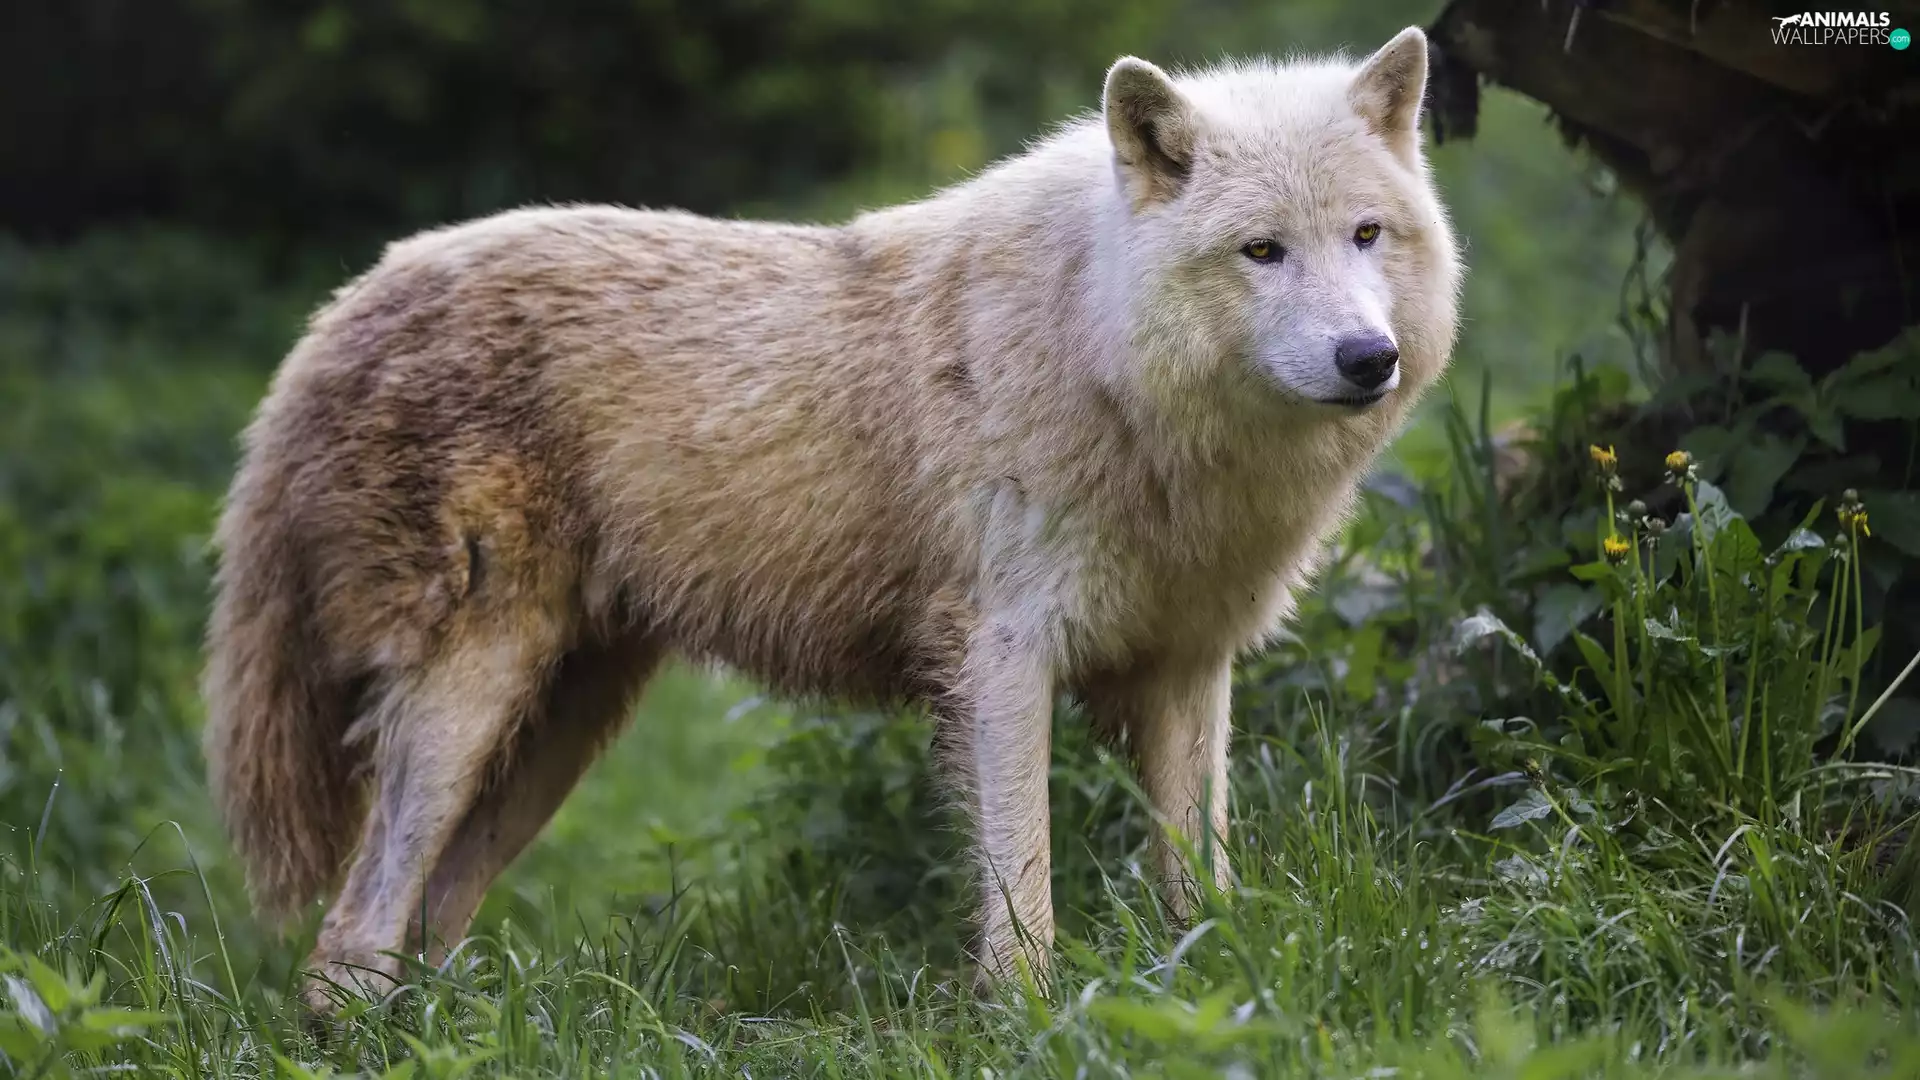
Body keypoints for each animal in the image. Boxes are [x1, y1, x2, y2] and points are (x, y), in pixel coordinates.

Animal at [202, 25, 1461, 1006]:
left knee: (424, 925)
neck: (1102, 358)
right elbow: (1023, 886)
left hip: (557, 728)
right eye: (1262, 251)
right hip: (469, 707)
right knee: (348, 938)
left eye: (1365, 235)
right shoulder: (1003, 661)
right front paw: (1029, 1019)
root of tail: (341, 307)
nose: (1369, 359)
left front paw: (1211, 979)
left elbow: (1199, 875)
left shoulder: (1189, 665)